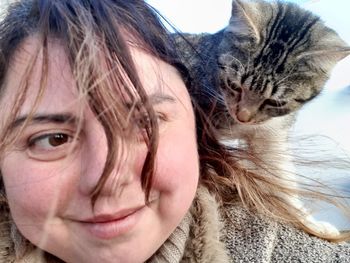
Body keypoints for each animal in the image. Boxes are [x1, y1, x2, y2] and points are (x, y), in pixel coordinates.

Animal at [174, 0, 350, 235]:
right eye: (234, 85)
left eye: (274, 102)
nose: (243, 116)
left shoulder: (271, 136)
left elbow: (283, 180)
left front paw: (310, 223)